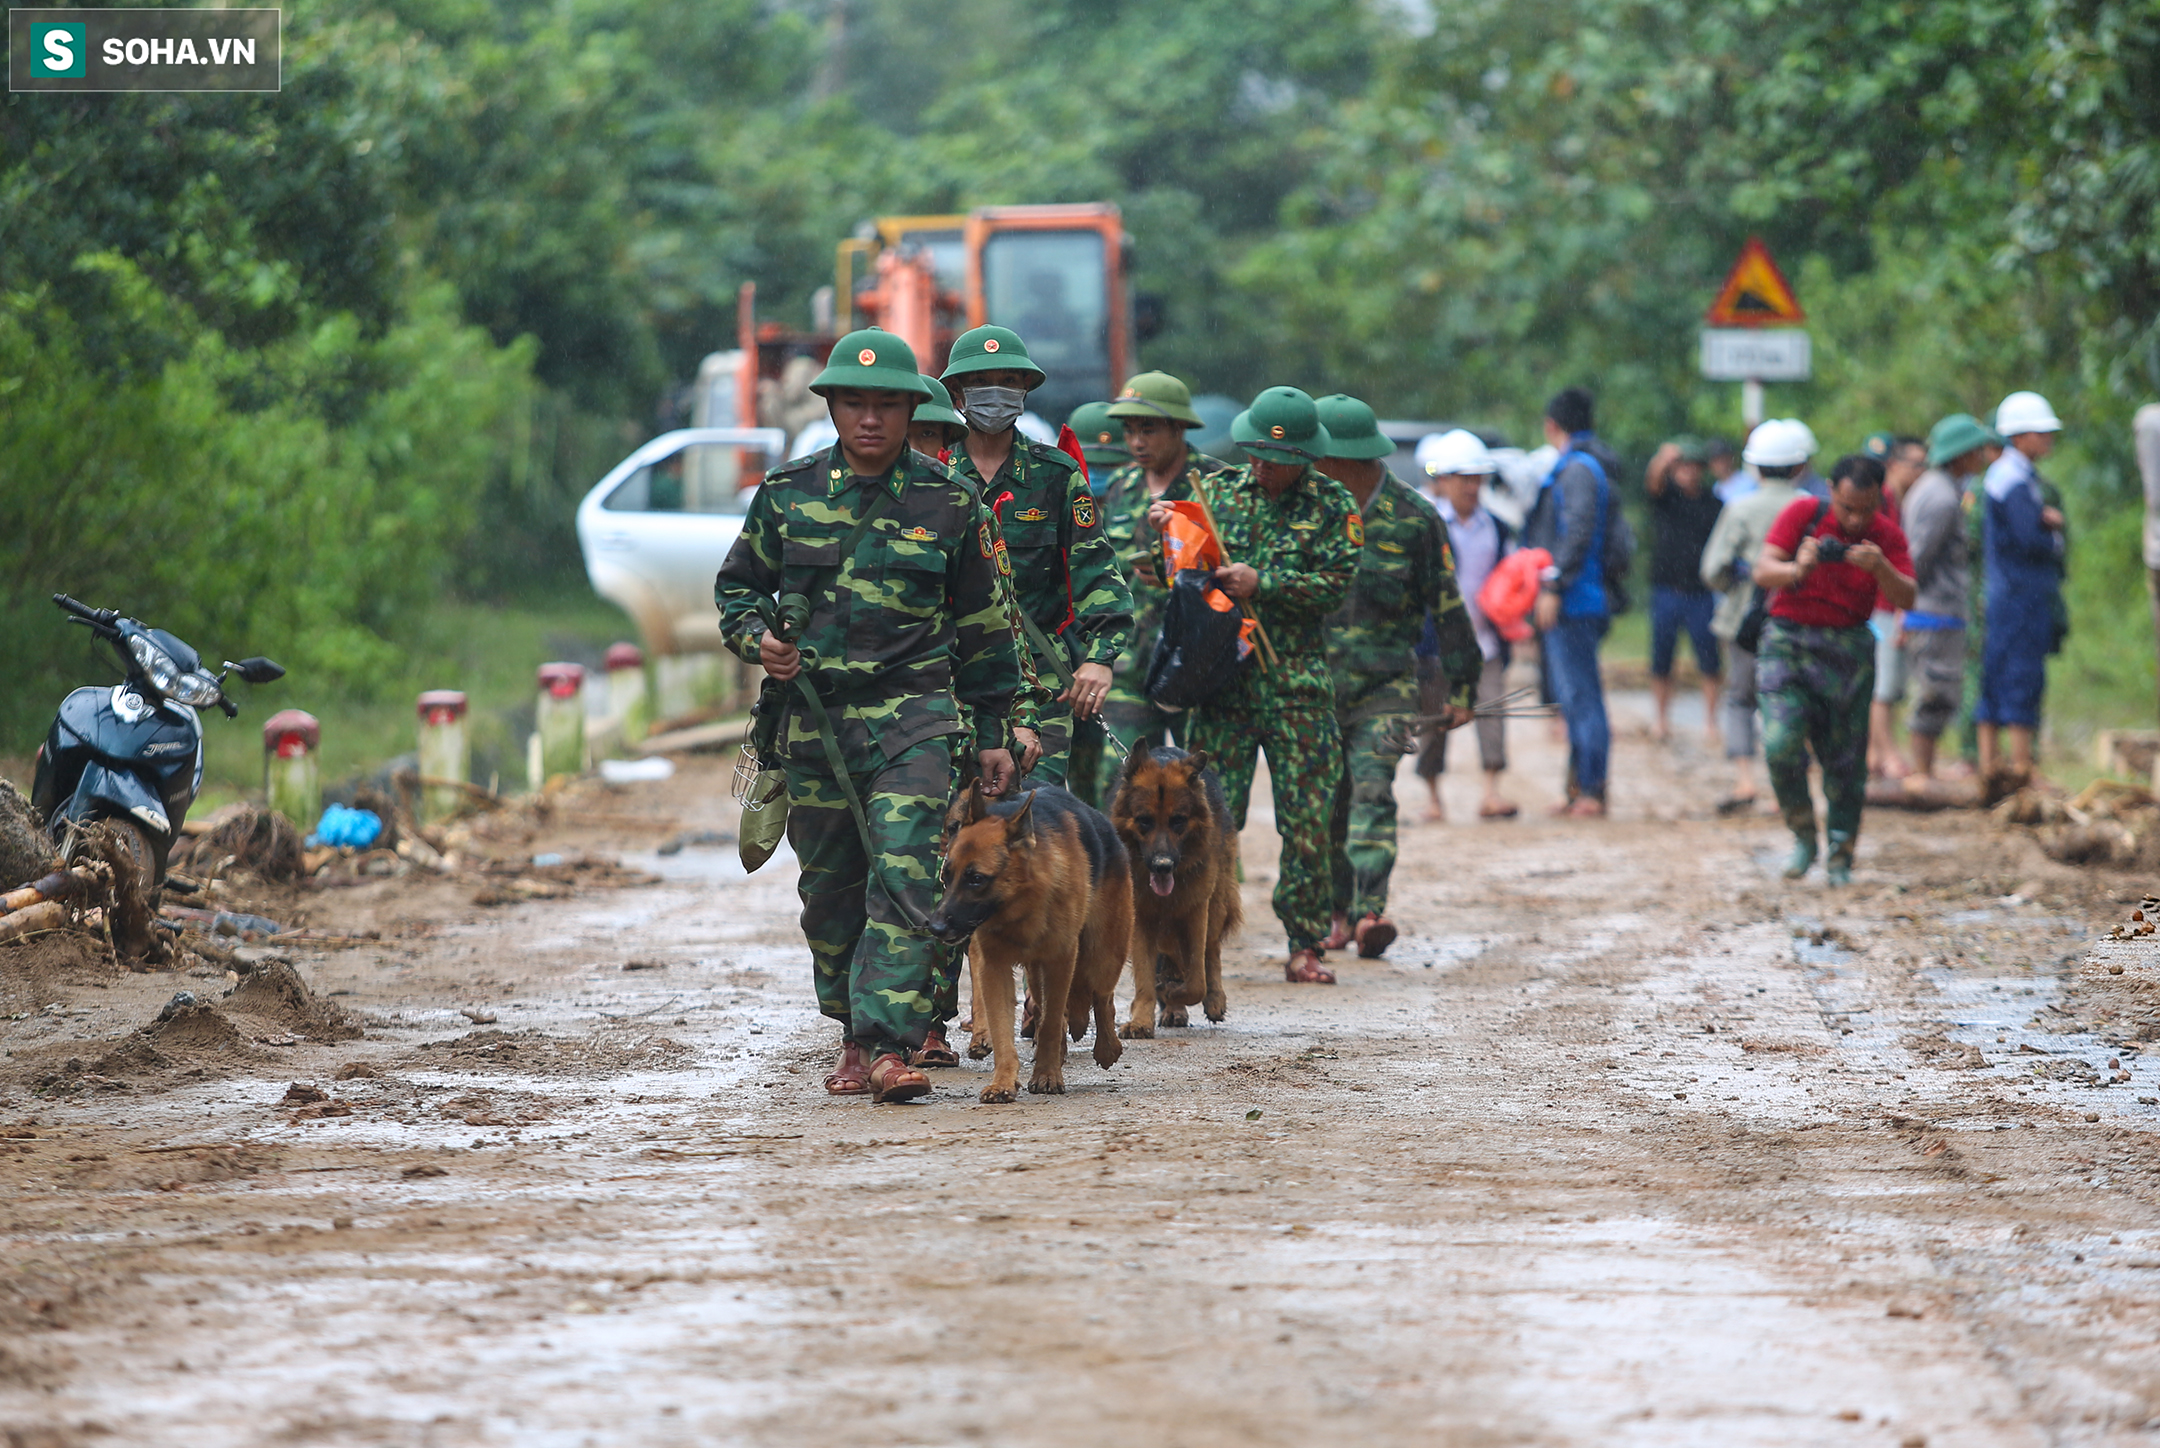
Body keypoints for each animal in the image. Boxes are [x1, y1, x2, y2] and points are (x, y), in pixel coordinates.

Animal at [928, 786, 1131, 1106]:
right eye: (946, 876)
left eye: (976, 879)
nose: (934, 928)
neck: (1021, 905)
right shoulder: (993, 967)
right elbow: (1004, 1029)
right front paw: (1003, 1082)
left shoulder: (1061, 961)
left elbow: (1050, 1023)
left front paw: (1047, 1076)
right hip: (1038, 973)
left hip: (1104, 951)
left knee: (1102, 996)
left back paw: (1107, 1047)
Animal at [1105, 747, 1244, 1046]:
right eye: (1144, 821)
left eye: (1178, 821)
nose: (1162, 865)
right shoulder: (1142, 918)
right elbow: (1146, 976)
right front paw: (1141, 1020)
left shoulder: (1195, 912)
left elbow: (1196, 980)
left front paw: (1174, 991)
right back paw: (1173, 1008)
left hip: (1215, 905)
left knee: (1211, 952)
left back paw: (1213, 998)